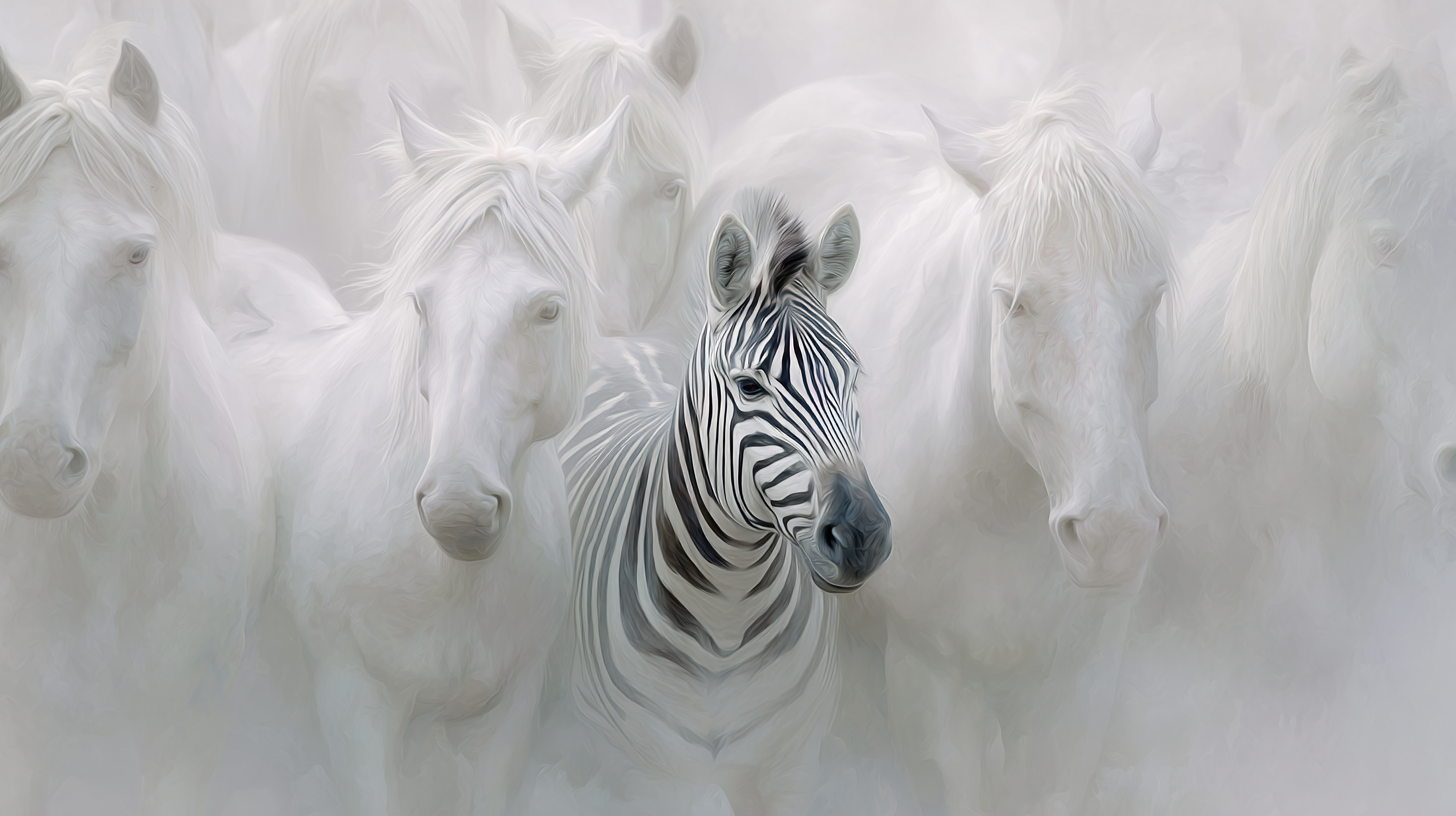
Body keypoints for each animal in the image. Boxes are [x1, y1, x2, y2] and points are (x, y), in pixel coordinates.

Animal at [255, 85, 626, 815]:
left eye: (548, 310)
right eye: (422, 305)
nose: (459, 509)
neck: (448, 579)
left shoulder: (508, 717)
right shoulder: (355, 709)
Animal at [560, 188, 890, 816]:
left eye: (853, 378)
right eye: (749, 387)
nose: (861, 535)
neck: (727, 619)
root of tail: (623, 341)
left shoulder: (790, 767)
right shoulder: (646, 777)